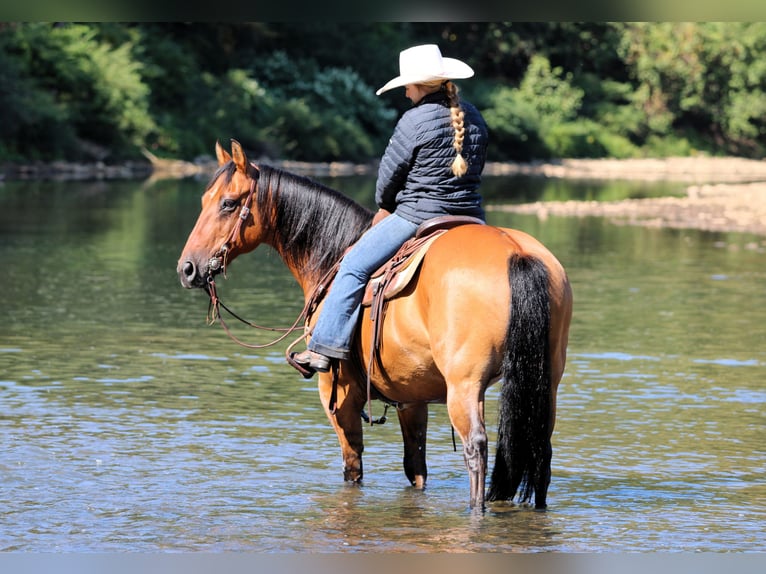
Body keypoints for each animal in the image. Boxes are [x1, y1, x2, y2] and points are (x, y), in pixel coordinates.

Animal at [177, 140, 573, 510]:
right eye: (205, 199)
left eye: (228, 203)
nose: (188, 268)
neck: (334, 255)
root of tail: (516, 253)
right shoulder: (410, 398)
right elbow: (415, 468)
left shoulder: (339, 395)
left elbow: (353, 467)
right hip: (544, 381)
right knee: (540, 449)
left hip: (465, 385)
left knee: (476, 448)